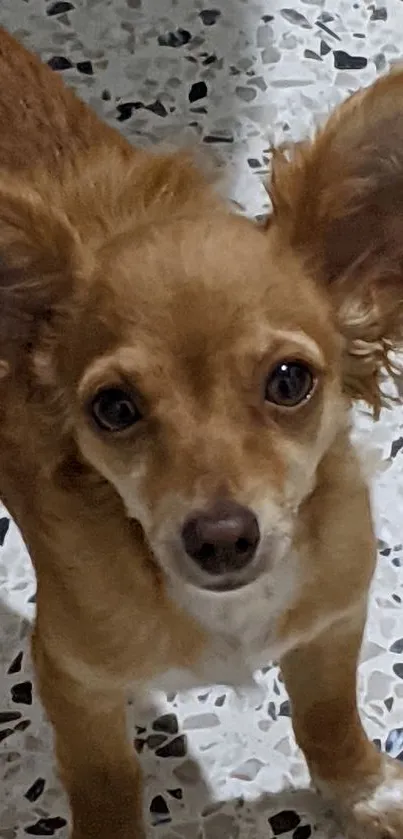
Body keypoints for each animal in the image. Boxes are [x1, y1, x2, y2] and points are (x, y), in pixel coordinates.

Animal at [0, 23, 403, 839]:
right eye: (114, 408)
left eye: (289, 381)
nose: (221, 537)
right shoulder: (73, 679)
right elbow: (106, 781)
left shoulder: (332, 621)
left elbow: (328, 718)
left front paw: (364, 791)